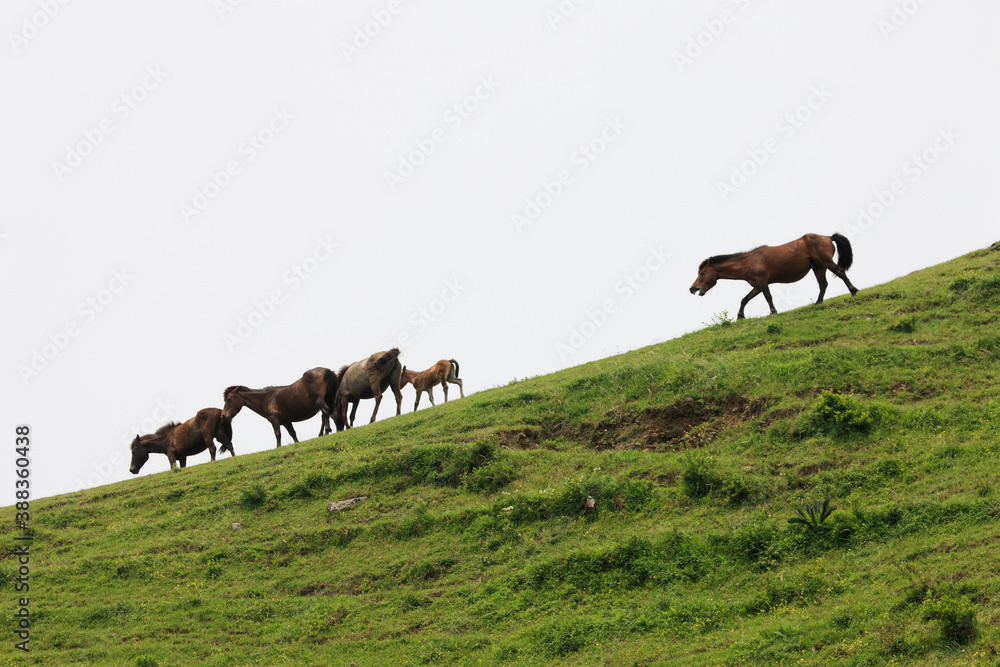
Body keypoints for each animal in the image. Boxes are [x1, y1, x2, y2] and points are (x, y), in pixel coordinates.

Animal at [690, 232, 858, 320]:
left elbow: (768, 296)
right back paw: (818, 303)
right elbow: (745, 299)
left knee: (840, 273)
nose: (693, 288)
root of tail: (828, 237)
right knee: (823, 284)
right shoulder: (757, 285)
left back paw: (853, 291)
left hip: (825, 262)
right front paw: (740, 316)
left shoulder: (762, 282)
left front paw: (773, 312)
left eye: (702, 273)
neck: (747, 261)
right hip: (818, 267)